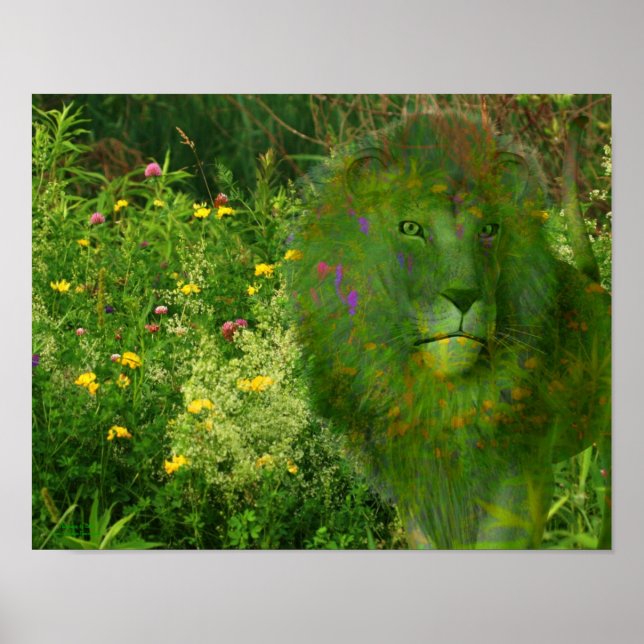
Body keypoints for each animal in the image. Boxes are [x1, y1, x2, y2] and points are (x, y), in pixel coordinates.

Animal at [289, 111, 611, 549]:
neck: (441, 396)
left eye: (488, 230)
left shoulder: (520, 475)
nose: (464, 297)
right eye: (411, 227)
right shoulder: (418, 480)